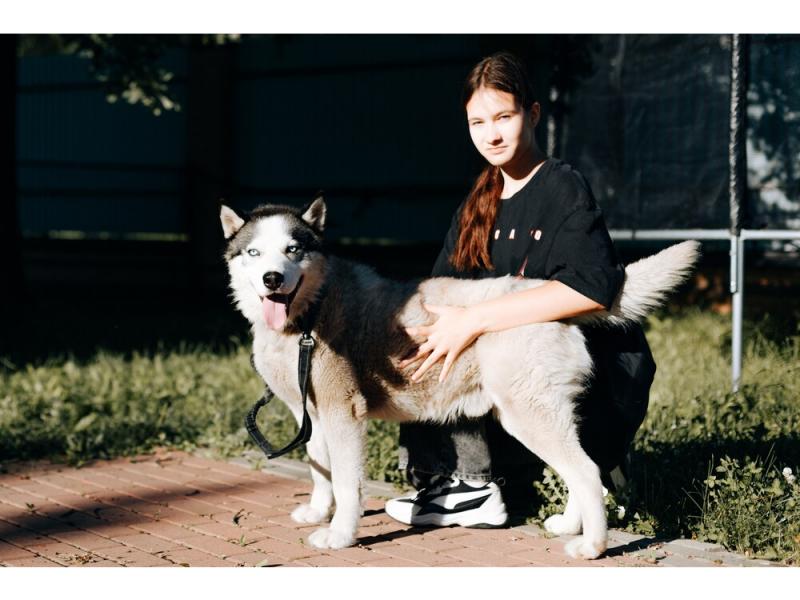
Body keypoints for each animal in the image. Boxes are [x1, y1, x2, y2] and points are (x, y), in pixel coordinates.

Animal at [220, 196, 700, 556]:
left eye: (293, 250)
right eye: (254, 253)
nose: (272, 278)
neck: (312, 310)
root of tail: (546, 295)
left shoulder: (345, 417)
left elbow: (346, 483)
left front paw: (340, 534)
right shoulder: (314, 417)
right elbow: (320, 470)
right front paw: (319, 512)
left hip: (529, 417)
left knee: (585, 471)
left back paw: (593, 547)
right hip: (541, 417)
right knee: (584, 473)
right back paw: (570, 526)